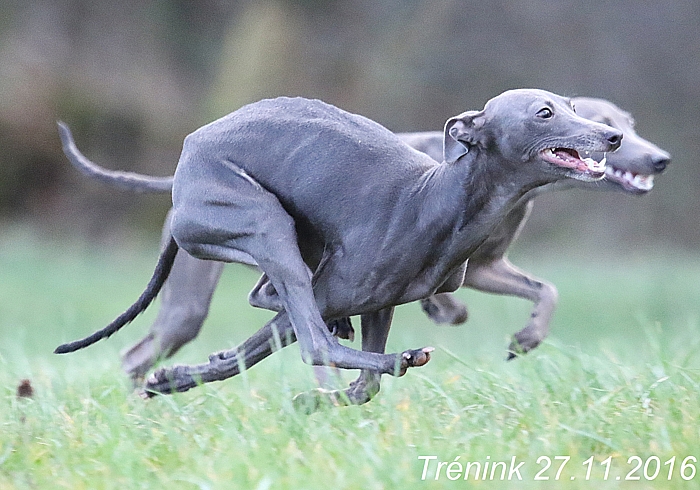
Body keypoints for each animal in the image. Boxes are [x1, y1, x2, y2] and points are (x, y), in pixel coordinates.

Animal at [57, 89, 620, 406]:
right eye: (545, 112)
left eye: (575, 108)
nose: (611, 138)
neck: (437, 196)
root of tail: (186, 153)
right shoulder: (331, 291)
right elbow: (300, 345)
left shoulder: (378, 303)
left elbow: (355, 386)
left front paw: (173, 380)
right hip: (263, 221)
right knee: (312, 337)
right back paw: (397, 356)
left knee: (274, 302)